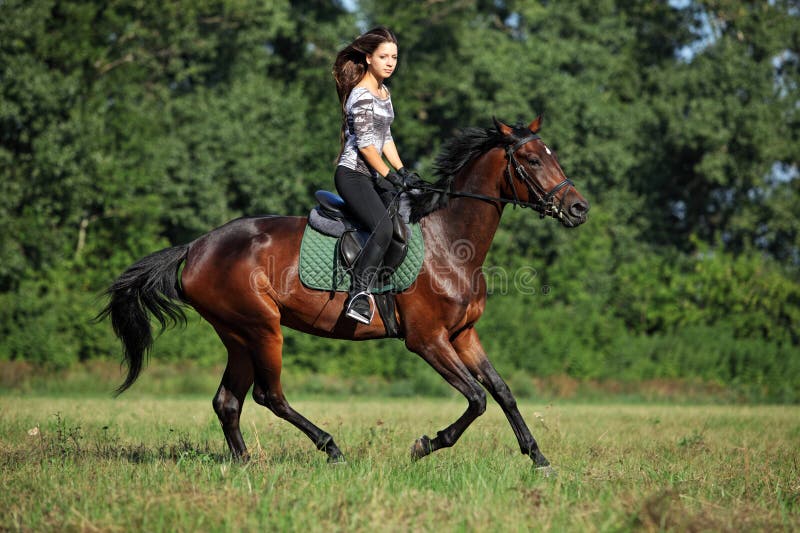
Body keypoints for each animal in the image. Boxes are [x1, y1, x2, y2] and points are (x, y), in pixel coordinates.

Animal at [99, 116, 589, 469]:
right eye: (531, 160)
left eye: (551, 155)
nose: (579, 209)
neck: (449, 241)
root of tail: (197, 246)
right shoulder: (427, 340)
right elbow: (477, 398)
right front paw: (426, 444)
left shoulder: (463, 335)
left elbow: (502, 392)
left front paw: (537, 456)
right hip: (262, 329)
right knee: (268, 396)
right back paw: (331, 448)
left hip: (236, 335)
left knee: (228, 401)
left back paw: (245, 463)